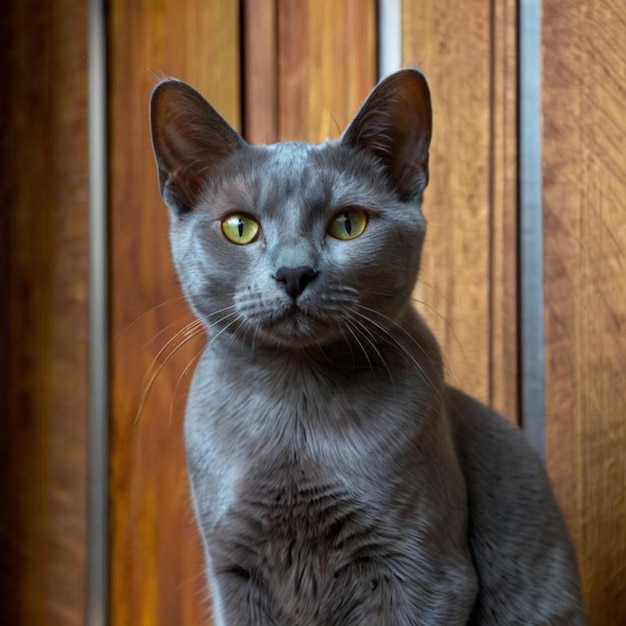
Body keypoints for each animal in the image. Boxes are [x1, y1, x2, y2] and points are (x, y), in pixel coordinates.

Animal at [149, 69, 584, 624]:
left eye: (348, 223)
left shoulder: (424, 573)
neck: (297, 413)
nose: (294, 272)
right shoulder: (233, 574)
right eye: (239, 227)